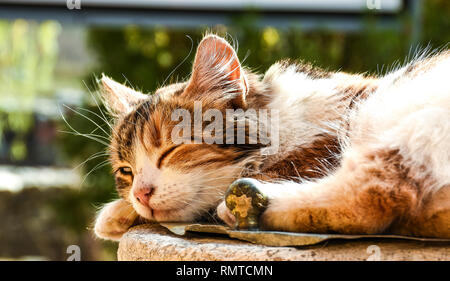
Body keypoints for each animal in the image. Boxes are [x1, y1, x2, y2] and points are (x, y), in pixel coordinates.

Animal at [93, 34, 448, 240]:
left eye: (173, 150)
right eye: (126, 171)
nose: (141, 194)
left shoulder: (324, 143)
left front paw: (116, 212)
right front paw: (125, 209)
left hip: (397, 111)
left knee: (373, 195)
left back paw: (253, 204)